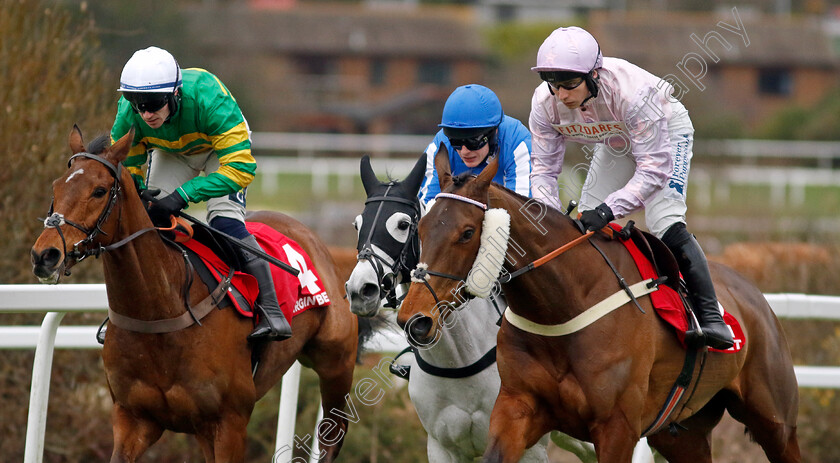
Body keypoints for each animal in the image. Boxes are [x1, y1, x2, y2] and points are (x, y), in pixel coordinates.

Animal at [32, 125, 368, 462]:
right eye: (56, 187)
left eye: (99, 191)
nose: (44, 255)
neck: (160, 313)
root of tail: (311, 234)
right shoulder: (134, 419)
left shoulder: (229, 424)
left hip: (336, 365)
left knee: (332, 435)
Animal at [398, 150, 804, 463]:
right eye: (419, 229)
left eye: (467, 233)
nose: (414, 320)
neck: (564, 308)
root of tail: (753, 293)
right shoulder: (517, 409)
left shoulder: (618, 427)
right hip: (684, 432)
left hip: (776, 423)